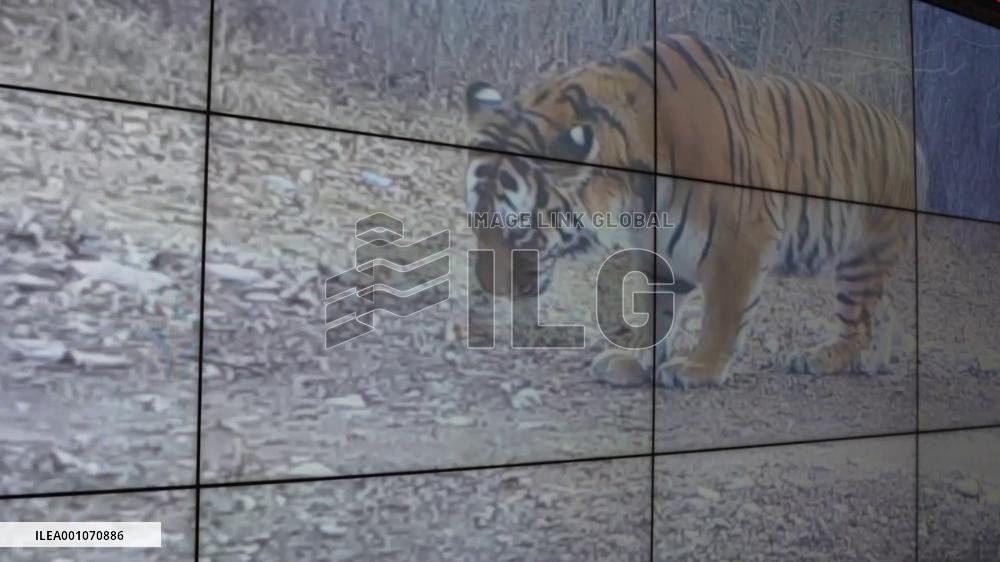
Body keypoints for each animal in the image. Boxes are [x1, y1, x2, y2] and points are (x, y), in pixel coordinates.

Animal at [464, 33, 919, 388]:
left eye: (518, 230)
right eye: (476, 223)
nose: (489, 289)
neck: (632, 192)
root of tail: (908, 133)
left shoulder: (741, 238)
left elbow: (723, 311)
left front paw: (700, 368)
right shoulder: (657, 245)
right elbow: (656, 308)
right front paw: (635, 359)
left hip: (861, 255)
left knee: (860, 322)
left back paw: (822, 358)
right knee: (885, 306)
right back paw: (874, 361)